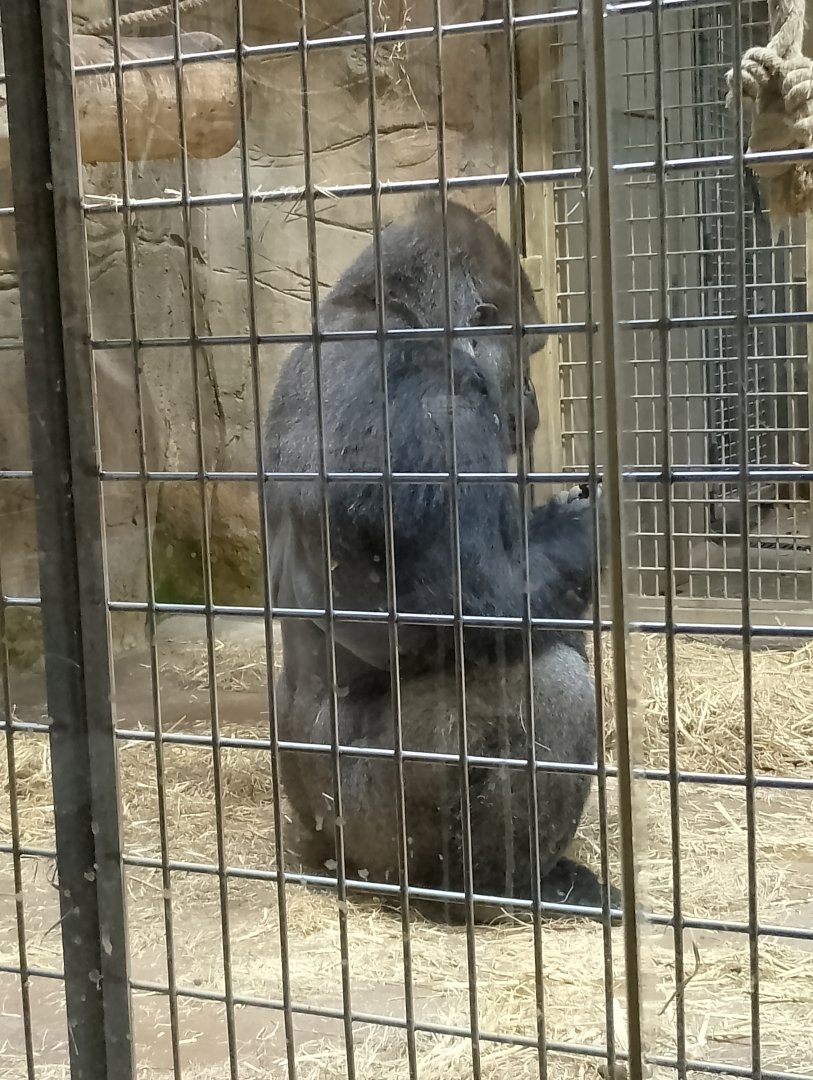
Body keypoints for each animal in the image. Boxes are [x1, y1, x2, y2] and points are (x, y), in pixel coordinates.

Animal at [264, 196, 618, 922]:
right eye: (527, 347)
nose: (531, 401)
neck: (383, 309)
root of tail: (328, 861)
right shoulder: (429, 395)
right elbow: (481, 603)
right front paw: (584, 525)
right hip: (378, 841)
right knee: (550, 682)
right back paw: (506, 891)